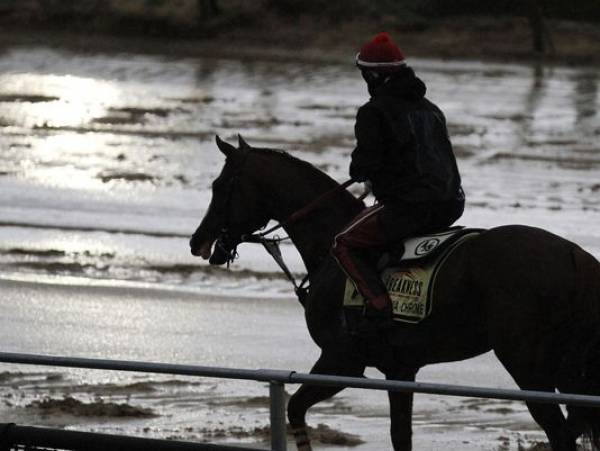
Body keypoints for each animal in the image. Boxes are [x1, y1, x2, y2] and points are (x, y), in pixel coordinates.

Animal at [191, 135, 600, 451]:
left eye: (219, 186)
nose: (198, 240)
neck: (330, 242)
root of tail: (575, 255)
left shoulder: (342, 361)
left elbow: (296, 409)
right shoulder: (400, 369)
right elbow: (400, 435)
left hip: (529, 366)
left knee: (561, 433)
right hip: (567, 368)